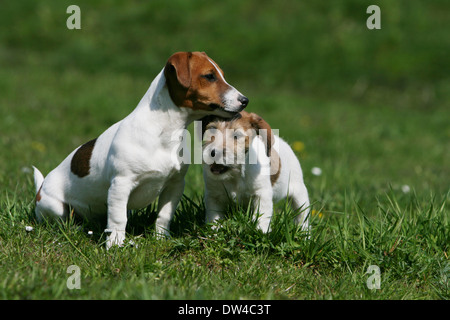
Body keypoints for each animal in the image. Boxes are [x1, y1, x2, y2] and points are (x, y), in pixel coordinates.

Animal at [31, 51, 250, 249]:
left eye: (221, 74)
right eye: (209, 76)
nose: (245, 100)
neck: (164, 132)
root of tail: (41, 188)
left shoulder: (175, 185)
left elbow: (164, 216)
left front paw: (161, 239)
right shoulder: (121, 184)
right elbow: (118, 220)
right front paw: (116, 246)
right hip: (55, 206)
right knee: (62, 221)